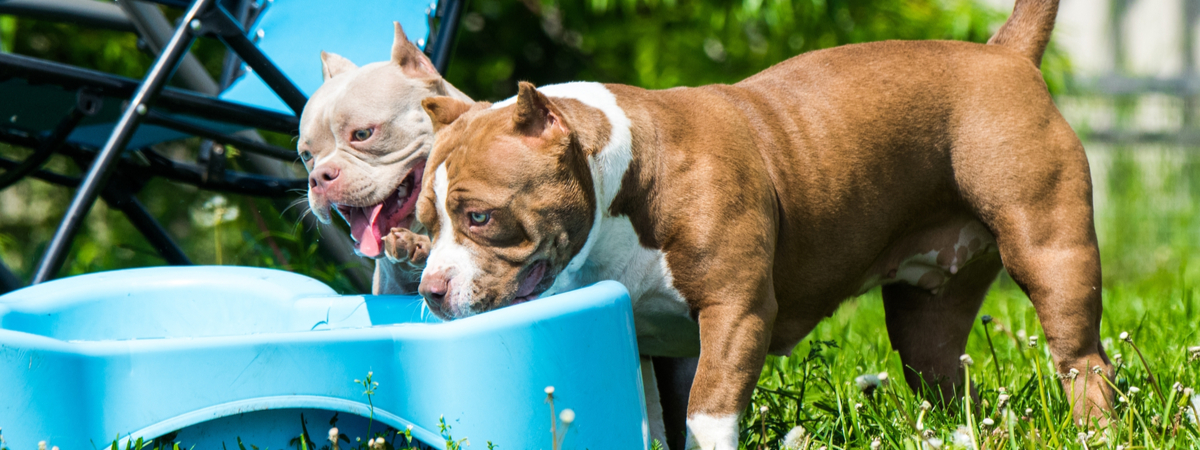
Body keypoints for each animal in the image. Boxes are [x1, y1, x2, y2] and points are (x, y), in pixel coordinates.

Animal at [417, 1, 1108, 448]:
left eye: (480, 217)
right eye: (423, 224)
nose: (429, 289)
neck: (629, 179)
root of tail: (1004, 54)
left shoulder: (735, 312)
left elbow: (707, 414)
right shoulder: (648, 342)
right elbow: (656, 420)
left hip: (1051, 253)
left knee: (1084, 359)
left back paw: (1097, 429)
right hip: (928, 319)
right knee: (948, 378)